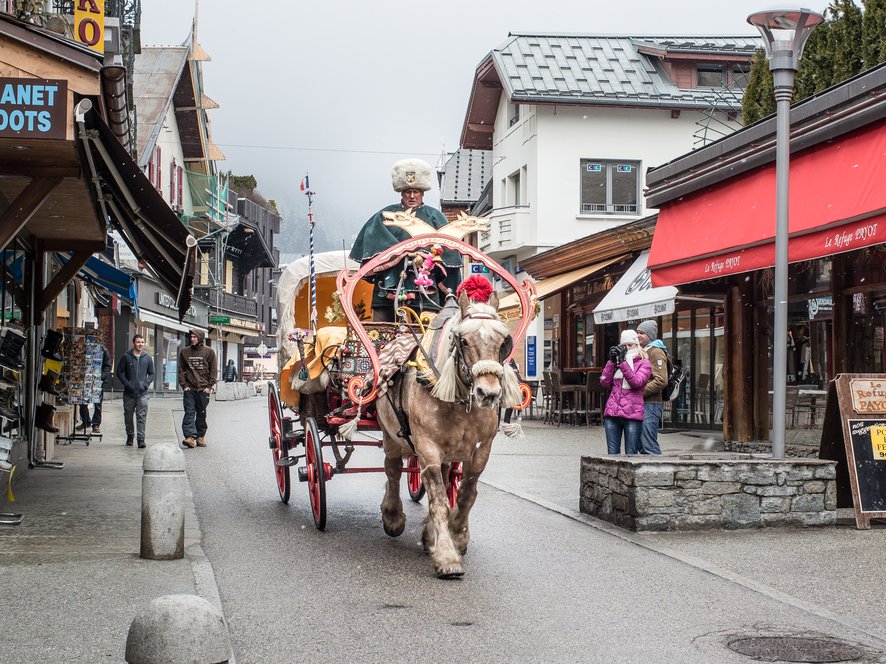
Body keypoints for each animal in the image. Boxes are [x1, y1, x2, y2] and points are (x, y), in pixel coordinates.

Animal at [372, 290, 524, 576]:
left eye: (503, 342)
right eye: (463, 340)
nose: (488, 393)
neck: (458, 399)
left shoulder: (481, 450)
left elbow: (465, 494)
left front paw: (456, 536)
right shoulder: (427, 449)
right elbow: (439, 499)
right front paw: (446, 555)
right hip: (391, 436)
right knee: (393, 470)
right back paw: (393, 516)